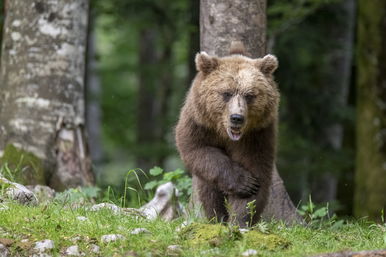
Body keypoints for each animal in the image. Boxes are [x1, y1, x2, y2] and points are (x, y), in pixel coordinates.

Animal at [176, 42, 280, 226]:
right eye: (226, 93)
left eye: (250, 95)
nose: (237, 117)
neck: (223, 133)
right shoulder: (199, 123)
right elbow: (196, 149)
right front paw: (245, 183)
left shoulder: (256, 135)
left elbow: (256, 169)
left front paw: (241, 218)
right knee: (208, 188)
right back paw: (216, 217)